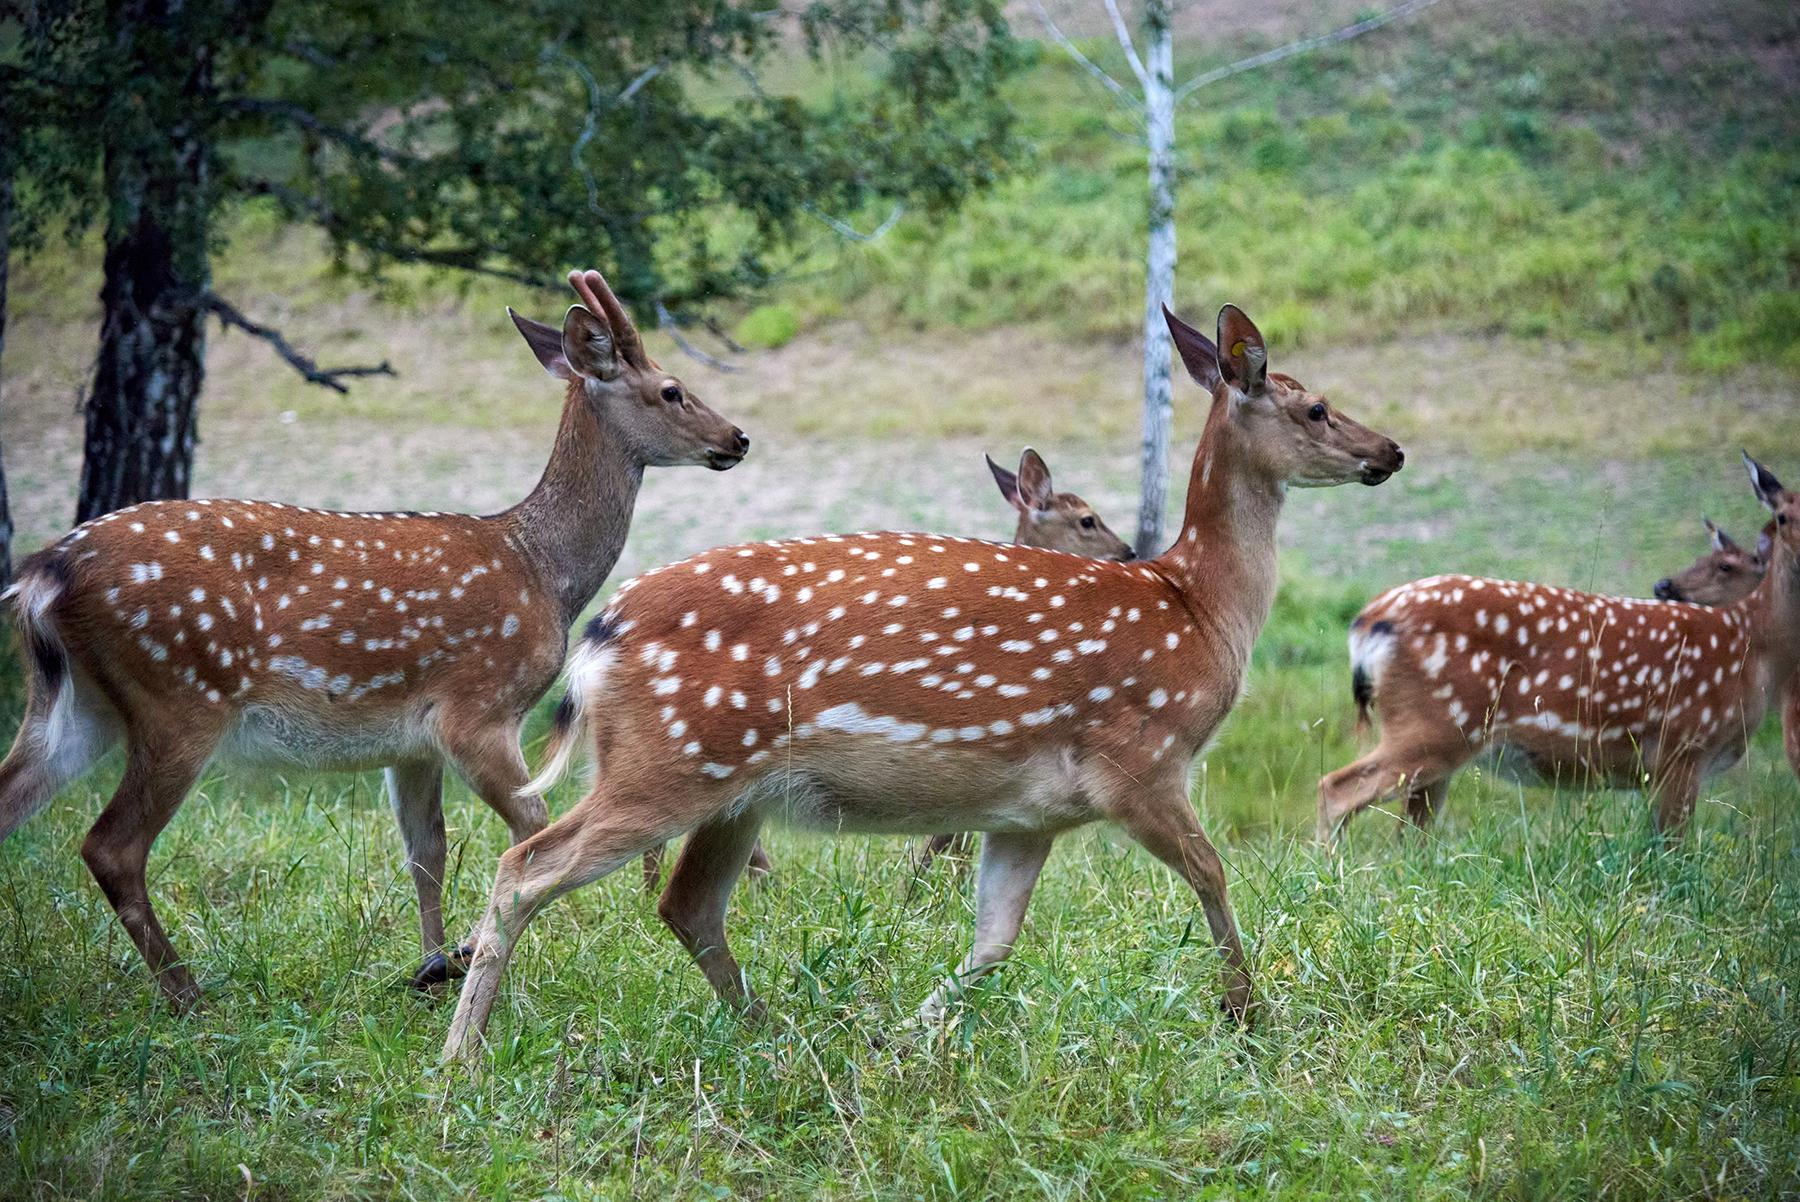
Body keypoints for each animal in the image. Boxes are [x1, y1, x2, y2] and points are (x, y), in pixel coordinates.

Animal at [0, 268, 748, 1007]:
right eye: (671, 389)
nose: (738, 437)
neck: (542, 571)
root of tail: (44, 574)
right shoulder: (477, 707)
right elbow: (531, 823)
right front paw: (464, 953)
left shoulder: (411, 742)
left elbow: (427, 850)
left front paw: (433, 964)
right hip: (178, 695)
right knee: (112, 846)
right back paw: (190, 994)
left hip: (74, 703)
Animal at [439, 302, 1404, 1058]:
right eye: (1316, 407)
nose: (1390, 450)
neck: (1197, 611)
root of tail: (601, 634)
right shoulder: (1138, 757)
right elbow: (1211, 871)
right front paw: (1247, 1012)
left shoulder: (1032, 813)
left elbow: (994, 941)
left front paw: (905, 1033)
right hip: (671, 760)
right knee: (527, 866)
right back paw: (461, 1058)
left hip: (732, 786)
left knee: (687, 905)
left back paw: (775, 1032)